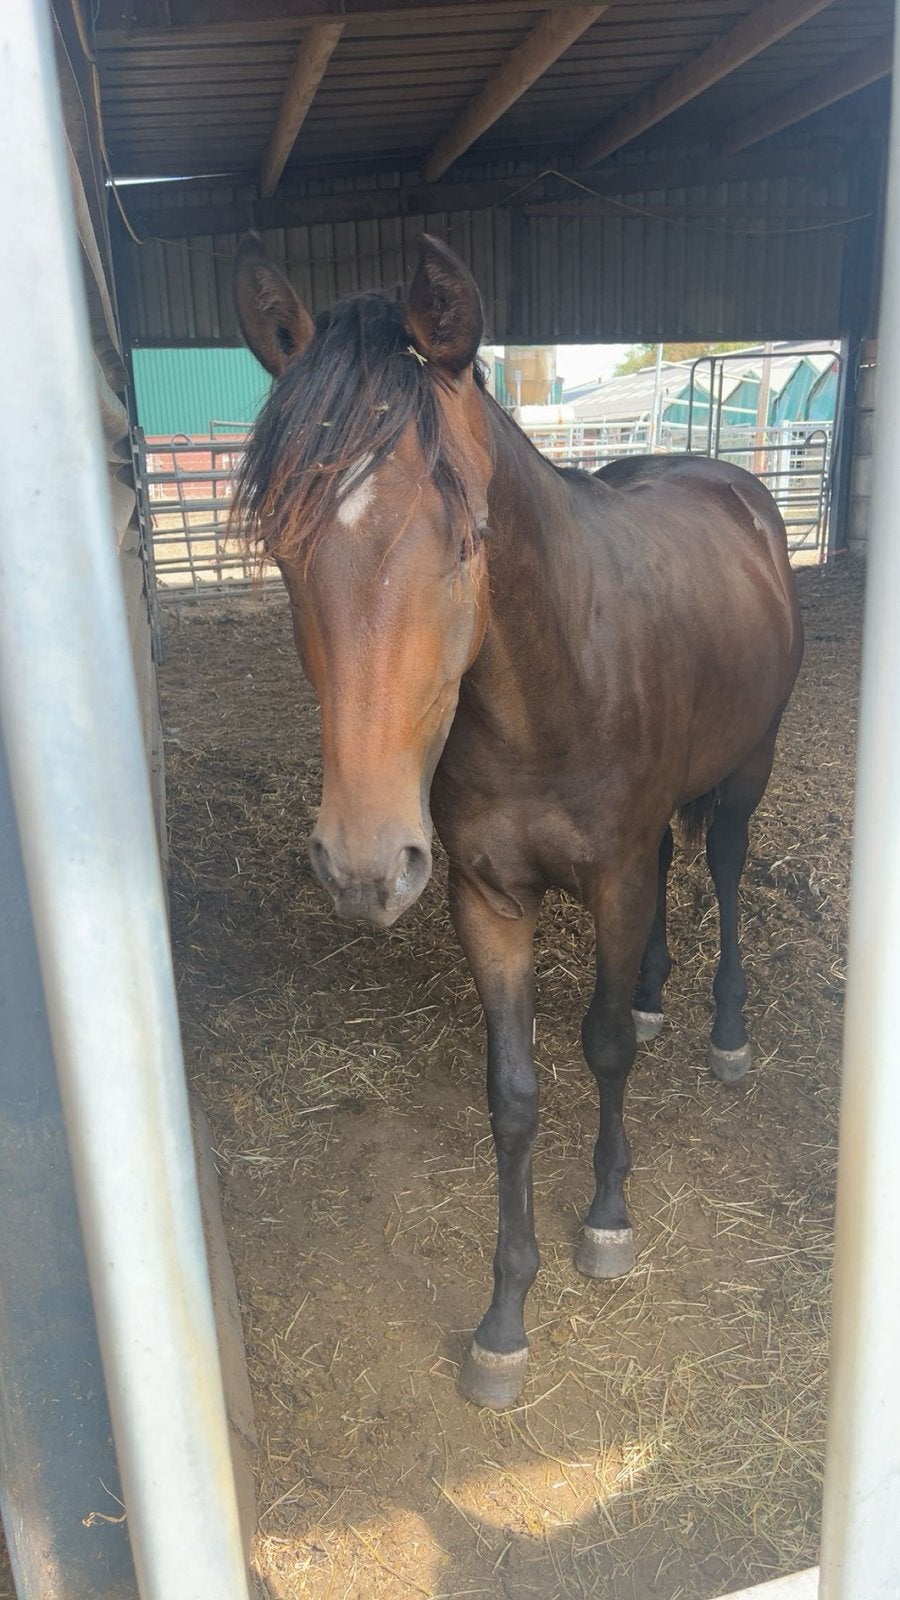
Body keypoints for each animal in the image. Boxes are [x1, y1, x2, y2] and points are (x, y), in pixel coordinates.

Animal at [231, 232, 803, 1410]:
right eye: (284, 546)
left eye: (466, 543)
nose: (362, 866)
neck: (553, 684)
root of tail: (732, 487)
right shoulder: (487, 897)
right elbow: (514, 1094)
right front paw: (504, 1320)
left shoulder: (615, 877)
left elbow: (601, 1053)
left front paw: (609, 1219)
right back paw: (657, 994)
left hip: (746, 770)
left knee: (723, 870)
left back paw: (722, 1030)